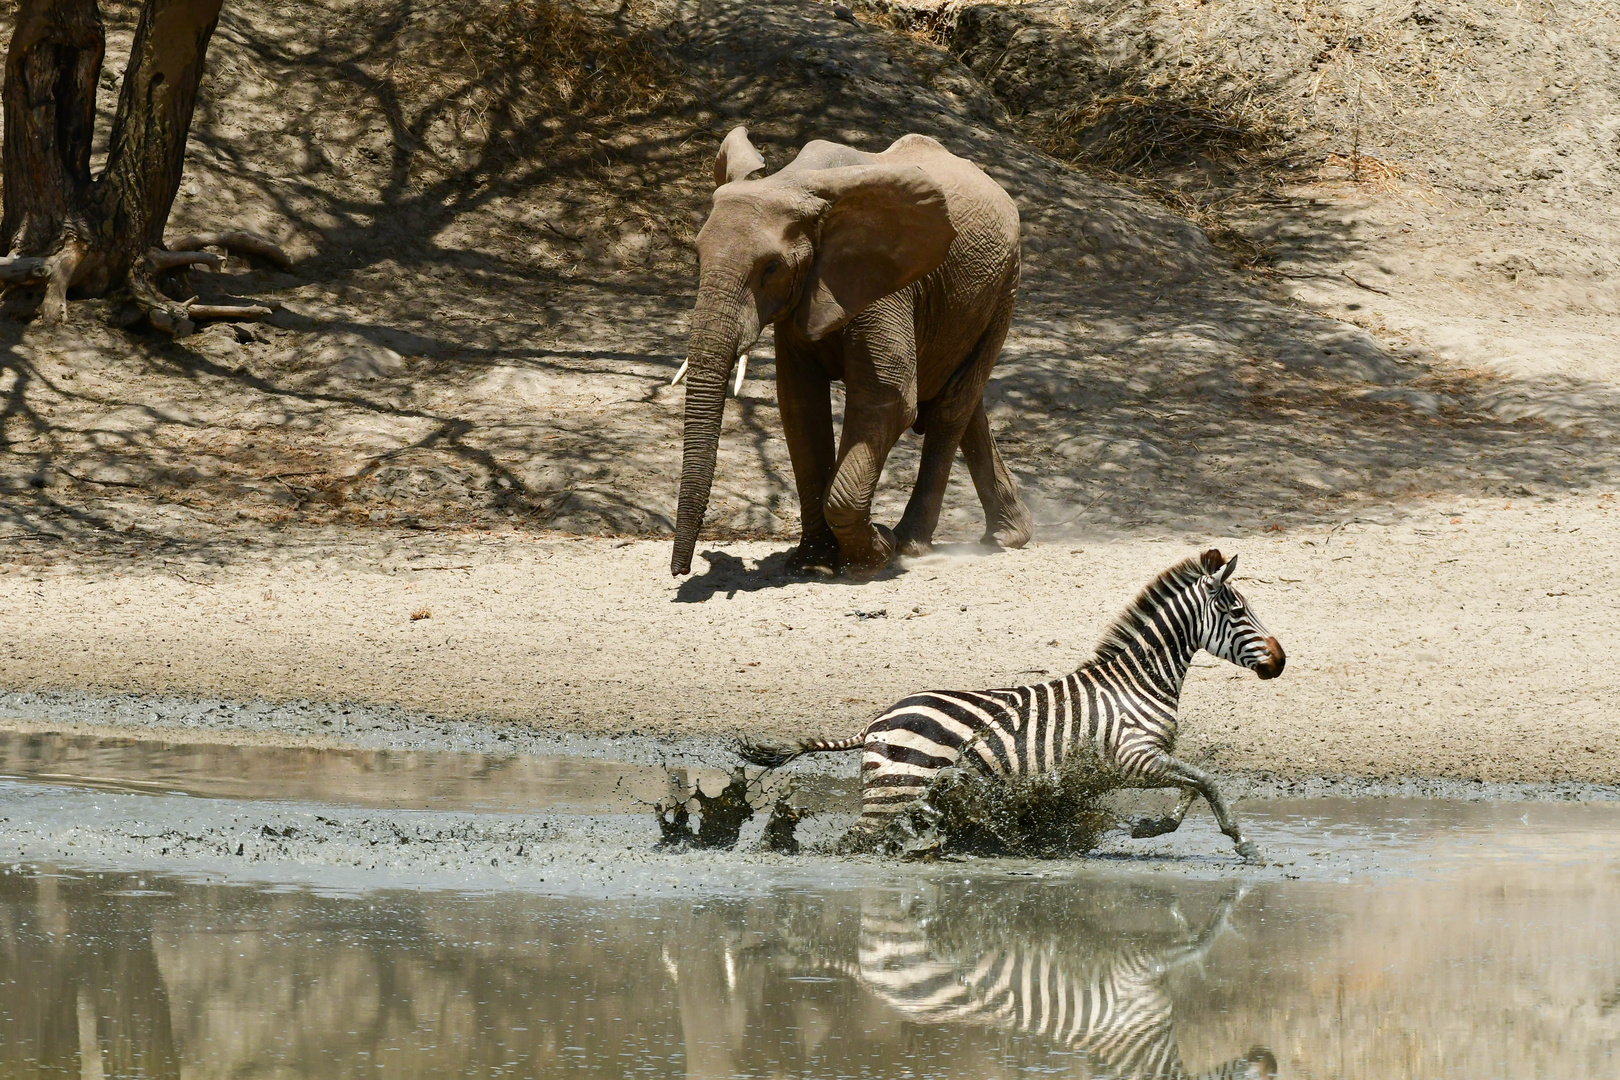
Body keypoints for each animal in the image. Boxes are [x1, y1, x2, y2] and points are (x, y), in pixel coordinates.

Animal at [670, 125, 1036, 579]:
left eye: (771, 268)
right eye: (697, 257)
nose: (680, 571)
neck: (795, 182)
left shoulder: (883, 283)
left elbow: (889, 399)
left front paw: (875, 552)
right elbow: (800, 407)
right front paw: (811, 564)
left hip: (1007, 284)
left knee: (952, 407)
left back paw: (912, 544)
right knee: (965, 402)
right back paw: (1007, 536)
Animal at [741, 553, 1283, 854]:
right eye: (1238, 611)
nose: (1280, 661)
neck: (1137, 682)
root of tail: (877, 721)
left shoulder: (1146, 760)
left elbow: (1193, 787)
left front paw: (1153, 827)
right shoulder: (1133, 757)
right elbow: (1207, 781)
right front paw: (1243, 843)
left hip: (898, 793)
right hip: (895, 792)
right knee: (855, 842)